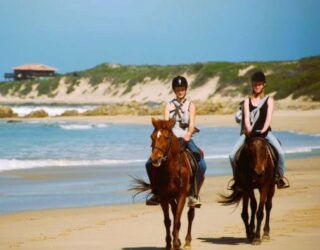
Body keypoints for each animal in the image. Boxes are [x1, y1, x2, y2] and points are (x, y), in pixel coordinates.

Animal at [132, 118, 202, 249]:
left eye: (167, 137)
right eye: (152, 136)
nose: (155, 159)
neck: (171, 169)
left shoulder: (182, 196)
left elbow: (178, 221)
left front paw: (176, 244)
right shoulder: (164, 197)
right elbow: (168, 221)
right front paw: (170, 243)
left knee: (190, 214)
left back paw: (187, 241)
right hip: (170, 198)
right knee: (174, 212)